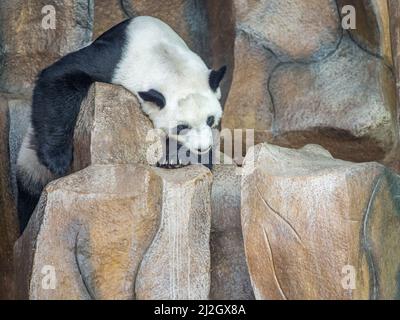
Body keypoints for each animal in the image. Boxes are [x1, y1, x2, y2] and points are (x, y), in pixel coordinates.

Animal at [17, 16, 227, 231]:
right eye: (182, 127)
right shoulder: (115, 61)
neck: (164, 57)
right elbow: (59, 77)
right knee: (29, 189)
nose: (202, 147)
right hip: (30, 160)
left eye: (210, 119)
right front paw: (58, 159)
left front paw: (179, 158)